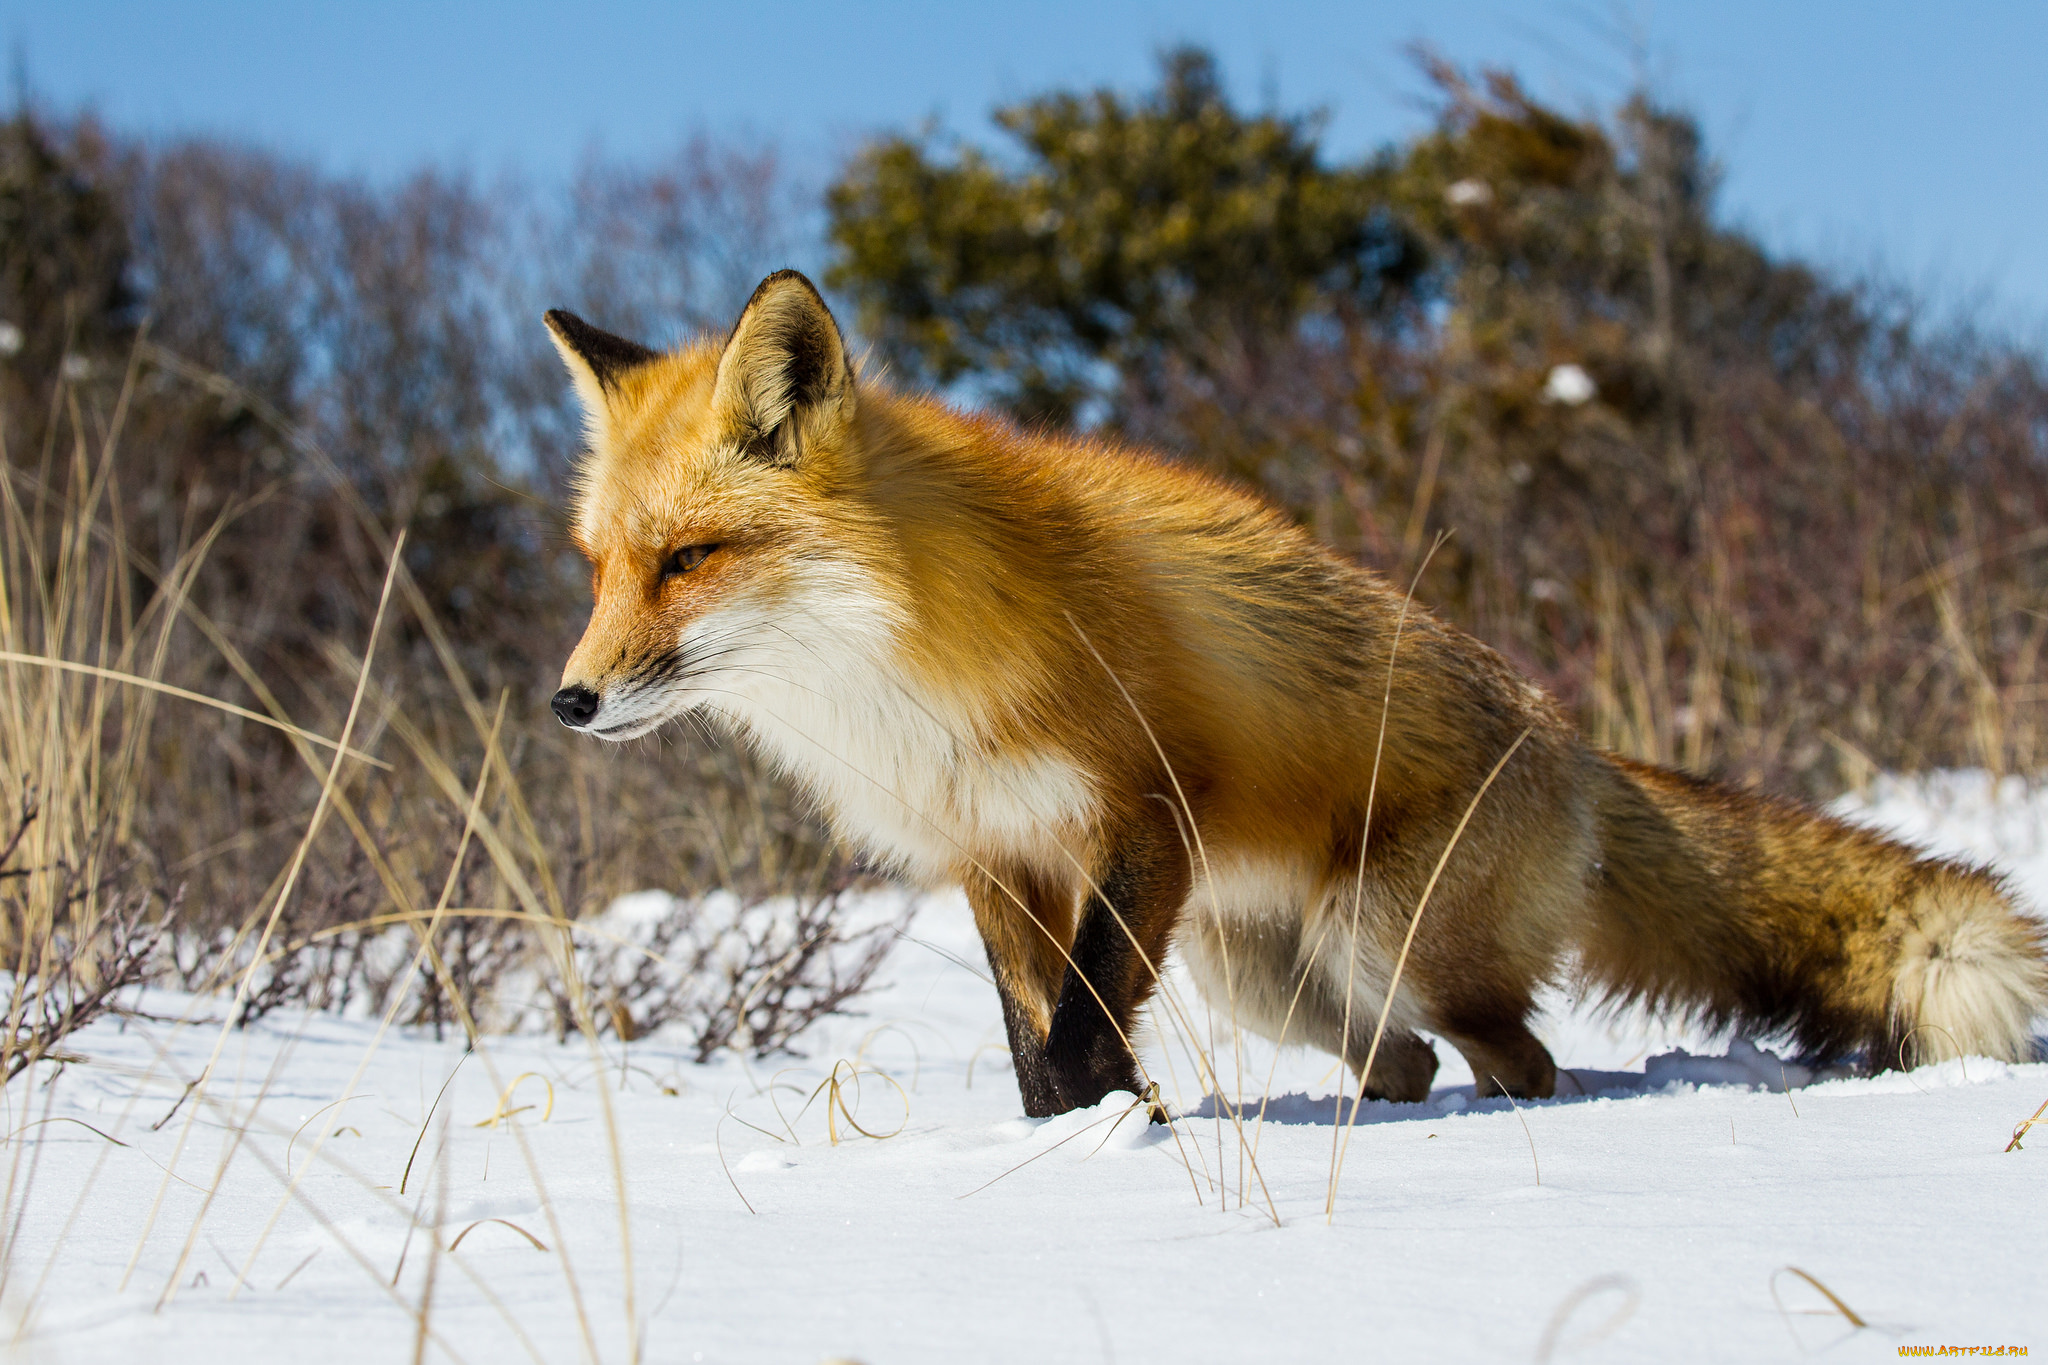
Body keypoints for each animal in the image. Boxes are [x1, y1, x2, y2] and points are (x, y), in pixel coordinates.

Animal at [536, 272, 2039, 1113]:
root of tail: (1573, 741)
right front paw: (1074, 1147)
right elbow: (1034, 1045)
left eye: (688, 559)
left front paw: (1109, 1138)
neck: (901, 661)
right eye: (599, 568)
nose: (570, 702)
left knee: (1515, 1053)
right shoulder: (994, 851)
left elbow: (1082, 1029)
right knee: (1407, 1061)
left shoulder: (1145, 814)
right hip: (1260, 975)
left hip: (1386, 942)